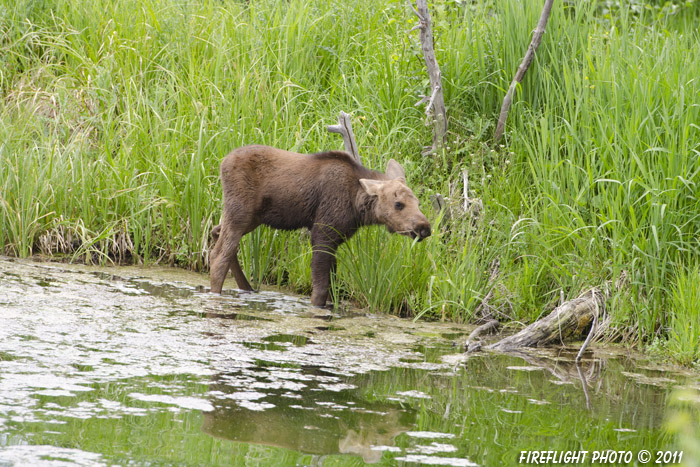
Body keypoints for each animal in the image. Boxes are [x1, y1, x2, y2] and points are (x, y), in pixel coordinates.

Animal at [208, 145, 430, 308]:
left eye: (418, 202)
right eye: (398, 204)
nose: (425, 227)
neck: (357, 206)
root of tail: (222, 162)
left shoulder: (336, 237)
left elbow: (332, 283)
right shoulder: (323, 232)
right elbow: (321, 288)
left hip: (252, 218)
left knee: (216, 233)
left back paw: (247, 288)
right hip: (240, 213)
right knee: (219, 254)